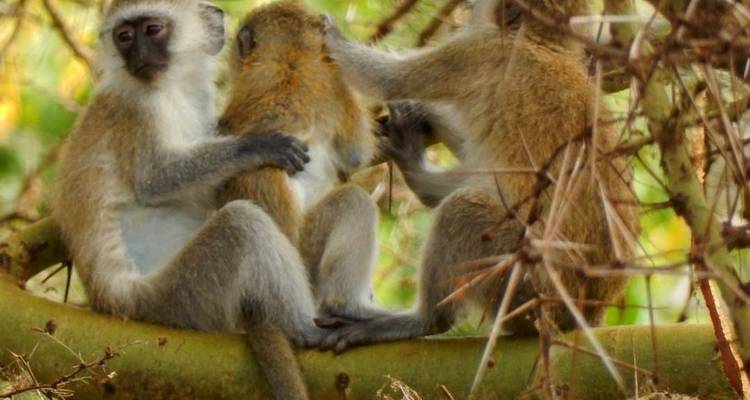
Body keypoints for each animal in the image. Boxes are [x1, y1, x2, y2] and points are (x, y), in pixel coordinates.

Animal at [53, 2, 332, 400]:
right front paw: (255, 146)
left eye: (152, 30)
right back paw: (306, 330)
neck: (172, 89)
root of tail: (110, 304)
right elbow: (155, 179)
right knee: (242, 224)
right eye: (124, 36)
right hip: (175, 300)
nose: (138, 55)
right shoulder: (134, 108)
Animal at [316, 0, 639, 352]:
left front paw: (332, 37)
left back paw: (424, 320)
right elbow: (473, 147)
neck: (540, 44)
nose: (469, 6)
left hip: (524, 288)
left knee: (463, 207)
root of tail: (582, 316)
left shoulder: (476, 52)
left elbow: (388, 79)